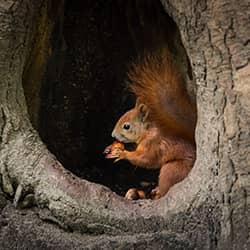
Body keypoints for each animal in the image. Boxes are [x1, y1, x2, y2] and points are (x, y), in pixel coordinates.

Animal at [104, 47, 196, 199]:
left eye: (126, 126)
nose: (112, 135)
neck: (147, 132)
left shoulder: (152, 144)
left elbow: (145, 159)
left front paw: (122, 154)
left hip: (171, 170)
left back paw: (158, 194)